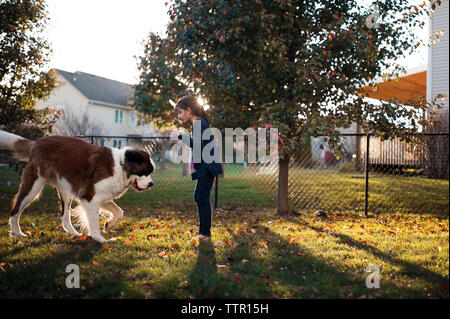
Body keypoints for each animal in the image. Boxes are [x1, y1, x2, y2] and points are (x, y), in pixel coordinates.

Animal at [0, 130, 156, 242]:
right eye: (146, 172)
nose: (151, 184)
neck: (121, 166)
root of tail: (36, 142)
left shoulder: (98, 196)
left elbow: (119, 212)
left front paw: (109, 224)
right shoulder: (90, 198)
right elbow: (94, 222)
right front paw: (100, 239)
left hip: (65, 190)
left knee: (64, 216)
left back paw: (73, 233)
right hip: (33, 187)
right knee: (15, 209)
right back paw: (16, 232)